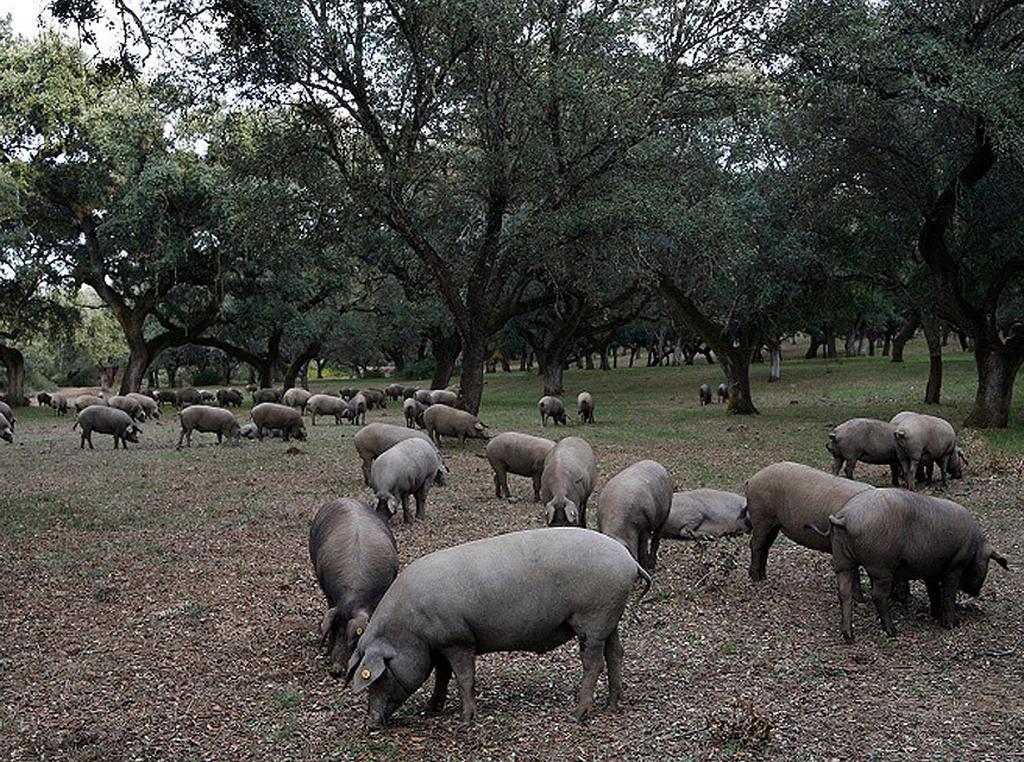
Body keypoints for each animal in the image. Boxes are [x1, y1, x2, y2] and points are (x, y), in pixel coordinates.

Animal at [305, 499, 397, 680]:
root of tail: (345, 498)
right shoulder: (331, 598)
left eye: (354, 638)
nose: (336, 670)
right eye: (335, 628)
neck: (352, 598)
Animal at [344, 528, 647, 729]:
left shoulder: (458, 640)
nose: (370, 724)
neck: (409, 628)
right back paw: (611, 705)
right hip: (609, 618)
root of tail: (629, 560)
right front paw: (432, 709)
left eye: (378, 676)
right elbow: (442, 675)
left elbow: (464, 678)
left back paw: (578, 715)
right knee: (616, 653)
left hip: (592, 617)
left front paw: (465, 722)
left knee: (594, 663)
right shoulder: (440, 645)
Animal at [819, 487, 1003, 643]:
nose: (976, 593)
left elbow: (934, 592)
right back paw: (892, 632)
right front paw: (952, 625)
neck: (975, 548)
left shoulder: (931, 570)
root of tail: (846, 516)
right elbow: (948, 595)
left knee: (844, 593)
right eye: (987, 563)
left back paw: (849, 636)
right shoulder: (954, 567)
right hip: (880, 567)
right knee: (878, 596)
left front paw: (935, 616)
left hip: (842, 560)